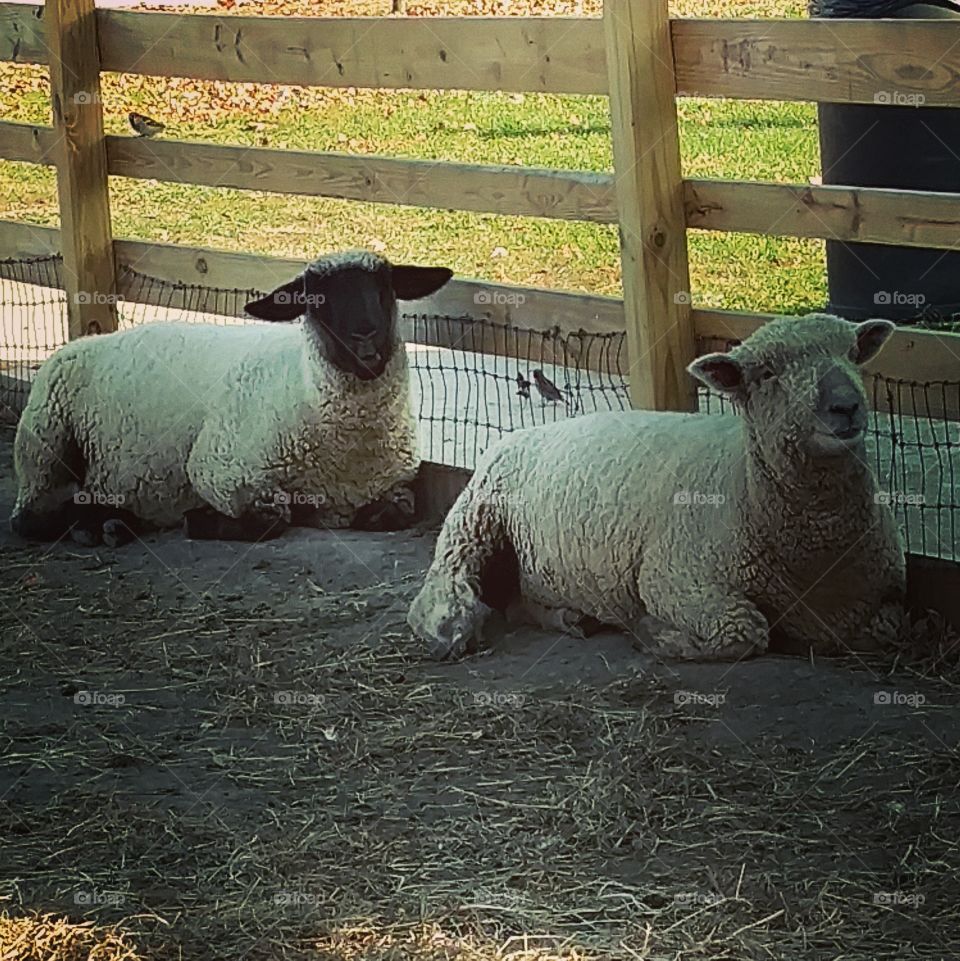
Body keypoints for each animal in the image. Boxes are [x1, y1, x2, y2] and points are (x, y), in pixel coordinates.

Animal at [10, 250, 452, 546]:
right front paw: (201, 520)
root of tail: (88, 341)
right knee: (29, 517)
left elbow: (400, 510)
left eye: (385, 287)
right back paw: (88, 526)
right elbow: (273, 518)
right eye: (316, 299)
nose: (365, 339)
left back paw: (112, 523)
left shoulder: (387, 487)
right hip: (44, 441)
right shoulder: (218, 470)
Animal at [408, 313, 906, 661]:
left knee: (516, 600)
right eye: (766, 374)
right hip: (476, 516)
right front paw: (653, 634)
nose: (846, 406)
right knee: (444, 576)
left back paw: (565, 616)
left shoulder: (882, 601)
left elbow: (889, 629)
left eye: (852, 354)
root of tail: (518, 434)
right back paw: (447, 627)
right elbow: (743, 631)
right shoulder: (676, 579)